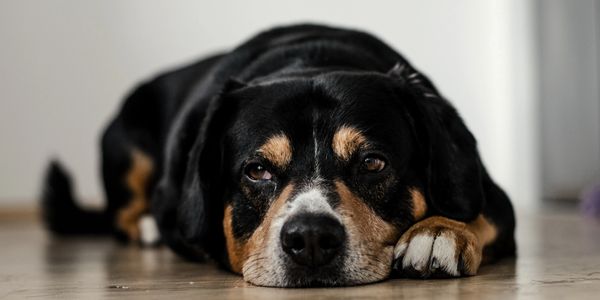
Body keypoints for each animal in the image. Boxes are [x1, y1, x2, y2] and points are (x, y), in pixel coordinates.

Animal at [41, 24, 516, 288]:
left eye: (372, 163)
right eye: (257, 170)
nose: (311, 238)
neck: (310, 61)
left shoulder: (492, 194)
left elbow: (480, 213)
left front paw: (437, 232)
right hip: (126, 145)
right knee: (121, 213)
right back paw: (147, 227)